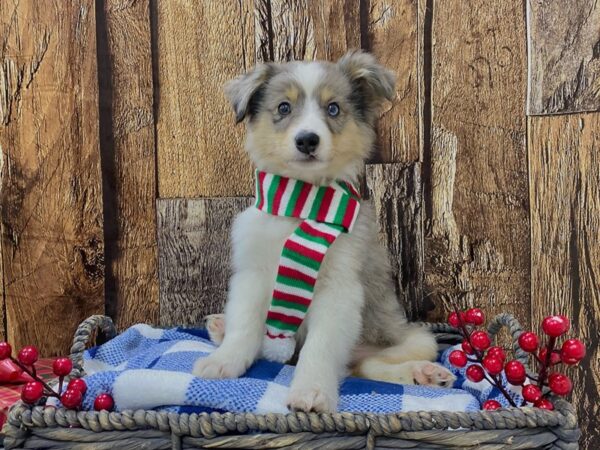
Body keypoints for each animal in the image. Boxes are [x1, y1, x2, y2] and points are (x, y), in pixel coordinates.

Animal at [196, 51, 454, 414]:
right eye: (284, 107)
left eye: (333, 109)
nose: (307, 140)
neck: (300, 204)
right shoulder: (253, 275)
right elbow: (244, 327)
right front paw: (224, 361)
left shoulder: (339, 289)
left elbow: (319, 349)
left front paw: (312, 391)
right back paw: (219, 328)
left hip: (415, 338)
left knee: (365, 366)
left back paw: (425, 374)